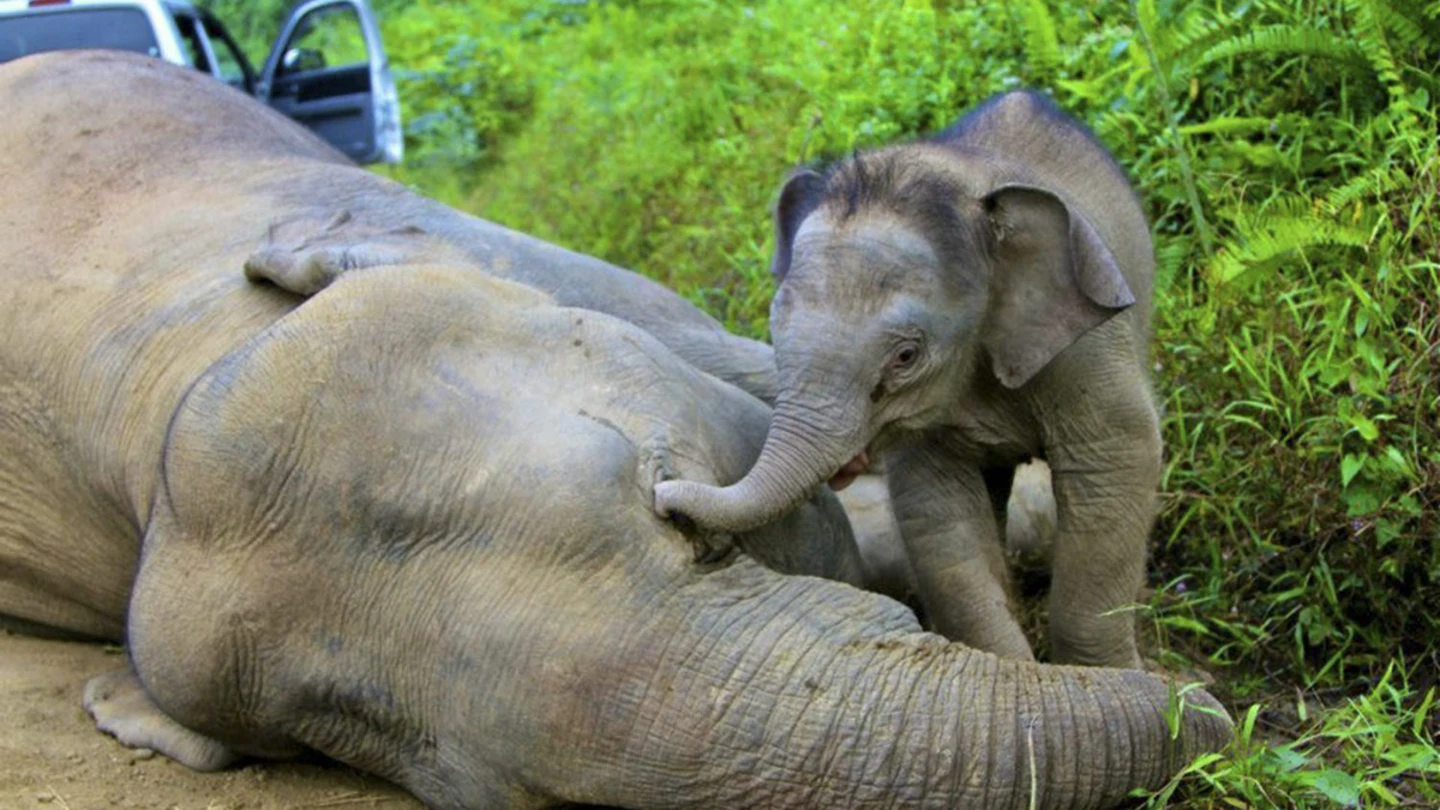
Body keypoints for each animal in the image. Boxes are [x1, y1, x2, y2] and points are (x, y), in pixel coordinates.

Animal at [655, 90, 1161, 669]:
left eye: (905, 356)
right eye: (773, 328)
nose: (663, 497)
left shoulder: (1087, 347)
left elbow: (1116, 463)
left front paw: (1115, 676)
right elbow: (938, 512)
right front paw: (1011, 668)